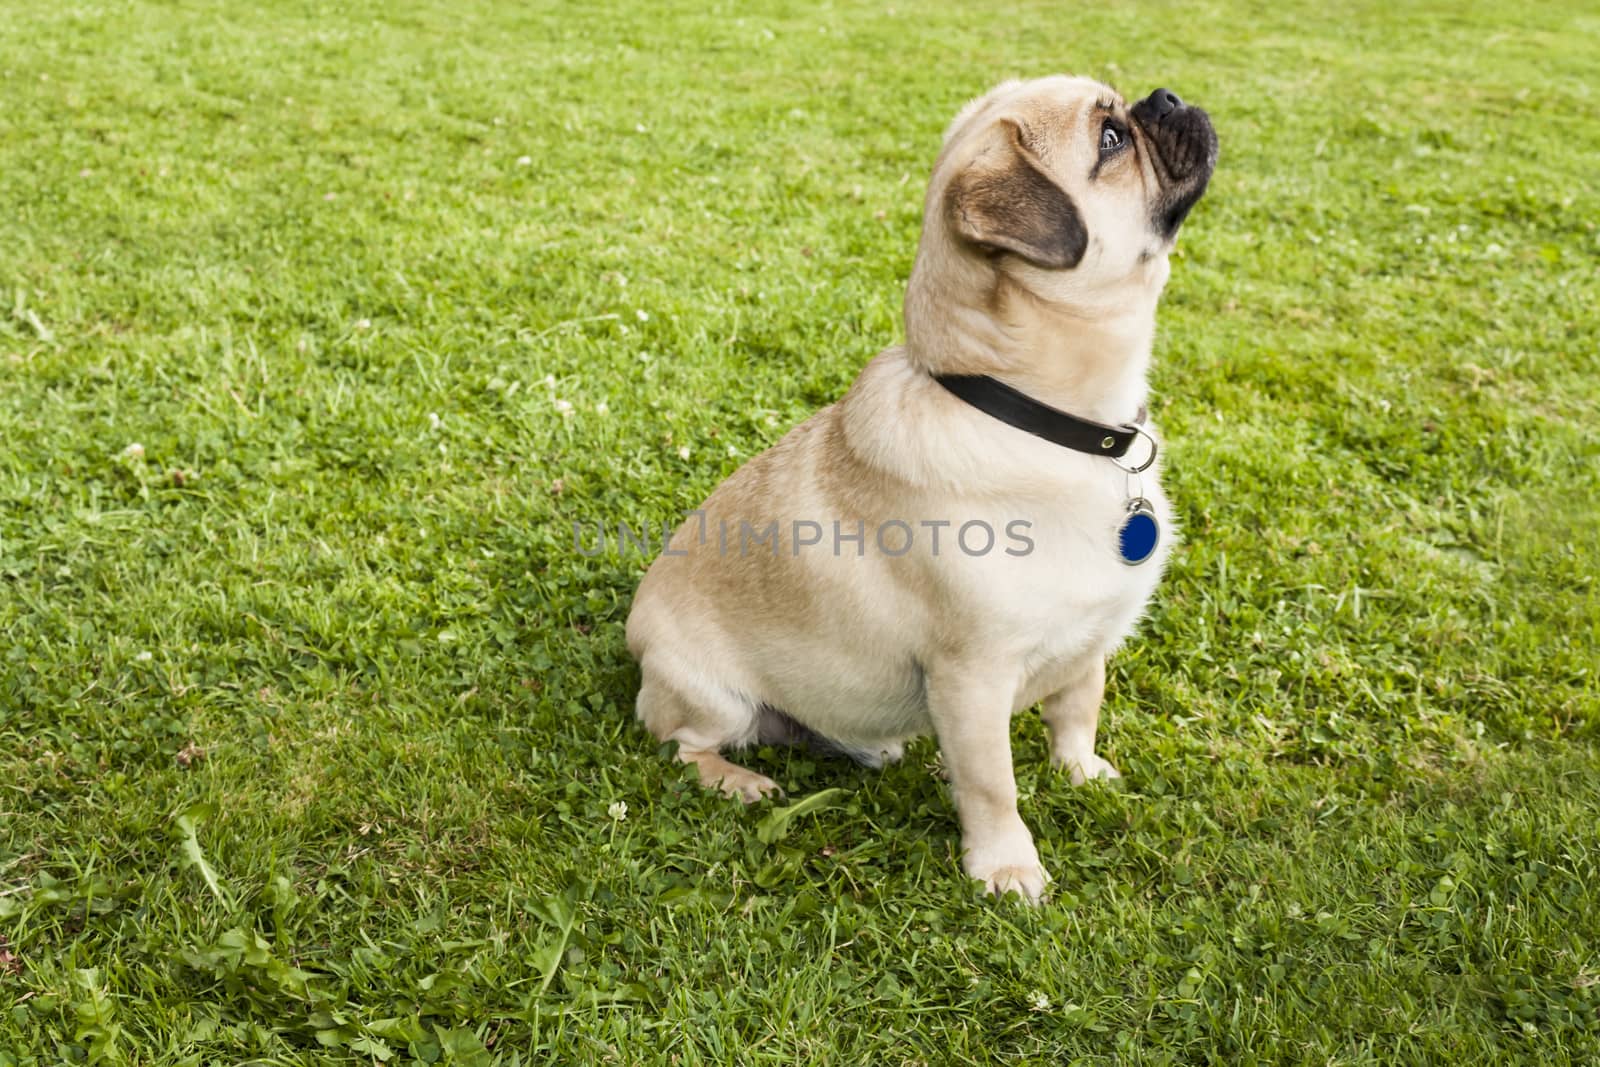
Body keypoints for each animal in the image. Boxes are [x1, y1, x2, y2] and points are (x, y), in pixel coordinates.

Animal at [624, 77, 1209, 902]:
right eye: (1111, 140)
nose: (1167, 96)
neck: (1040, 421)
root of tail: (636, 635)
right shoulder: (972, 679)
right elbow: (994, 783)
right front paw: (1005, 865)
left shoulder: (1087, 644)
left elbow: (1076, 708)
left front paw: (1081, 772)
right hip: (713, 697)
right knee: (681, 745)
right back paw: (738, 780)